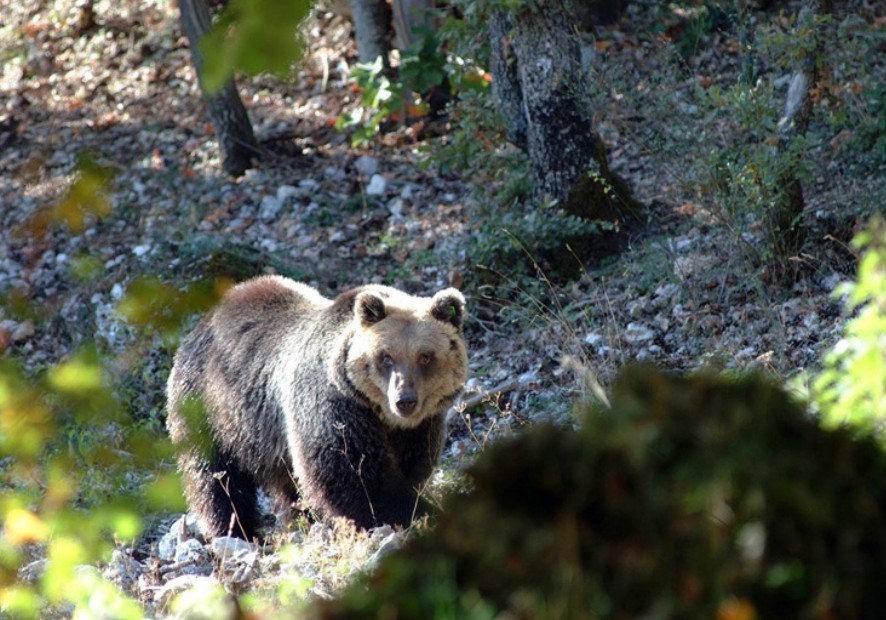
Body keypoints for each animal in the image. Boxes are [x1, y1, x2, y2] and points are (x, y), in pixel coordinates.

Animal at [166, 275, 468, 540]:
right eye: (386, 356)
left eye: (426, 356)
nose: (404, 400)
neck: (382, 415)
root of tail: (201, 323)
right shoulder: (333, 406)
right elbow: (354, 476)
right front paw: (415, 512)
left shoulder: (420, 426)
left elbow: (412, 466)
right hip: (209, 408)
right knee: (215, 477)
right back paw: (237, 531)